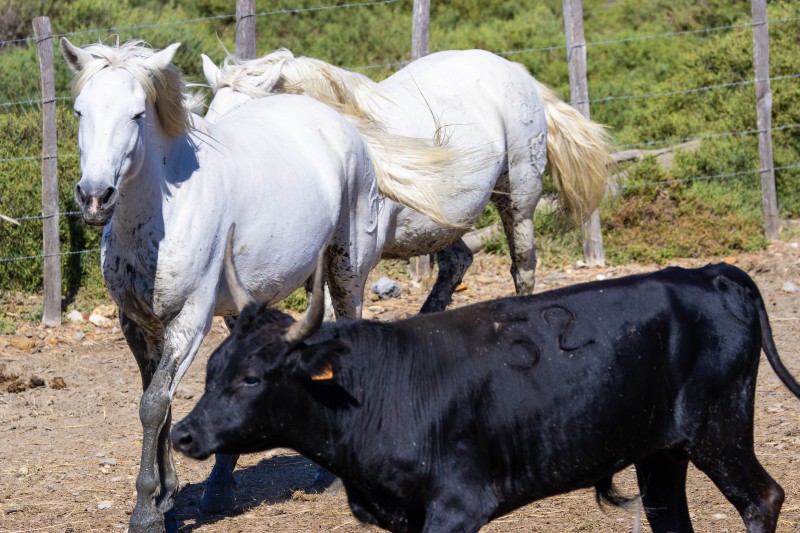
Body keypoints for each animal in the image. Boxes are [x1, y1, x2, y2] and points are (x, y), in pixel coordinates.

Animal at [57, 38, 396, 532]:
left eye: (137, 115)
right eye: (80, 111)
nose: (95, 197)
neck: (160, 213)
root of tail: (335, 123)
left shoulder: (189, 321)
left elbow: (153, 405)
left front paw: (146, 512)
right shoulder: (137, 323)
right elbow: (158, 403)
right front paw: (168, 502)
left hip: (347, 270)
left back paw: (327, 477)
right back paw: (219, 487)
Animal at [172, 262, 796, 532]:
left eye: (252, 378)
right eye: (211, 371)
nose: (182, 433)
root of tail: (711, 273)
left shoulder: (457, 507)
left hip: (719, 429)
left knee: (762, 498)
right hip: (661, 452)